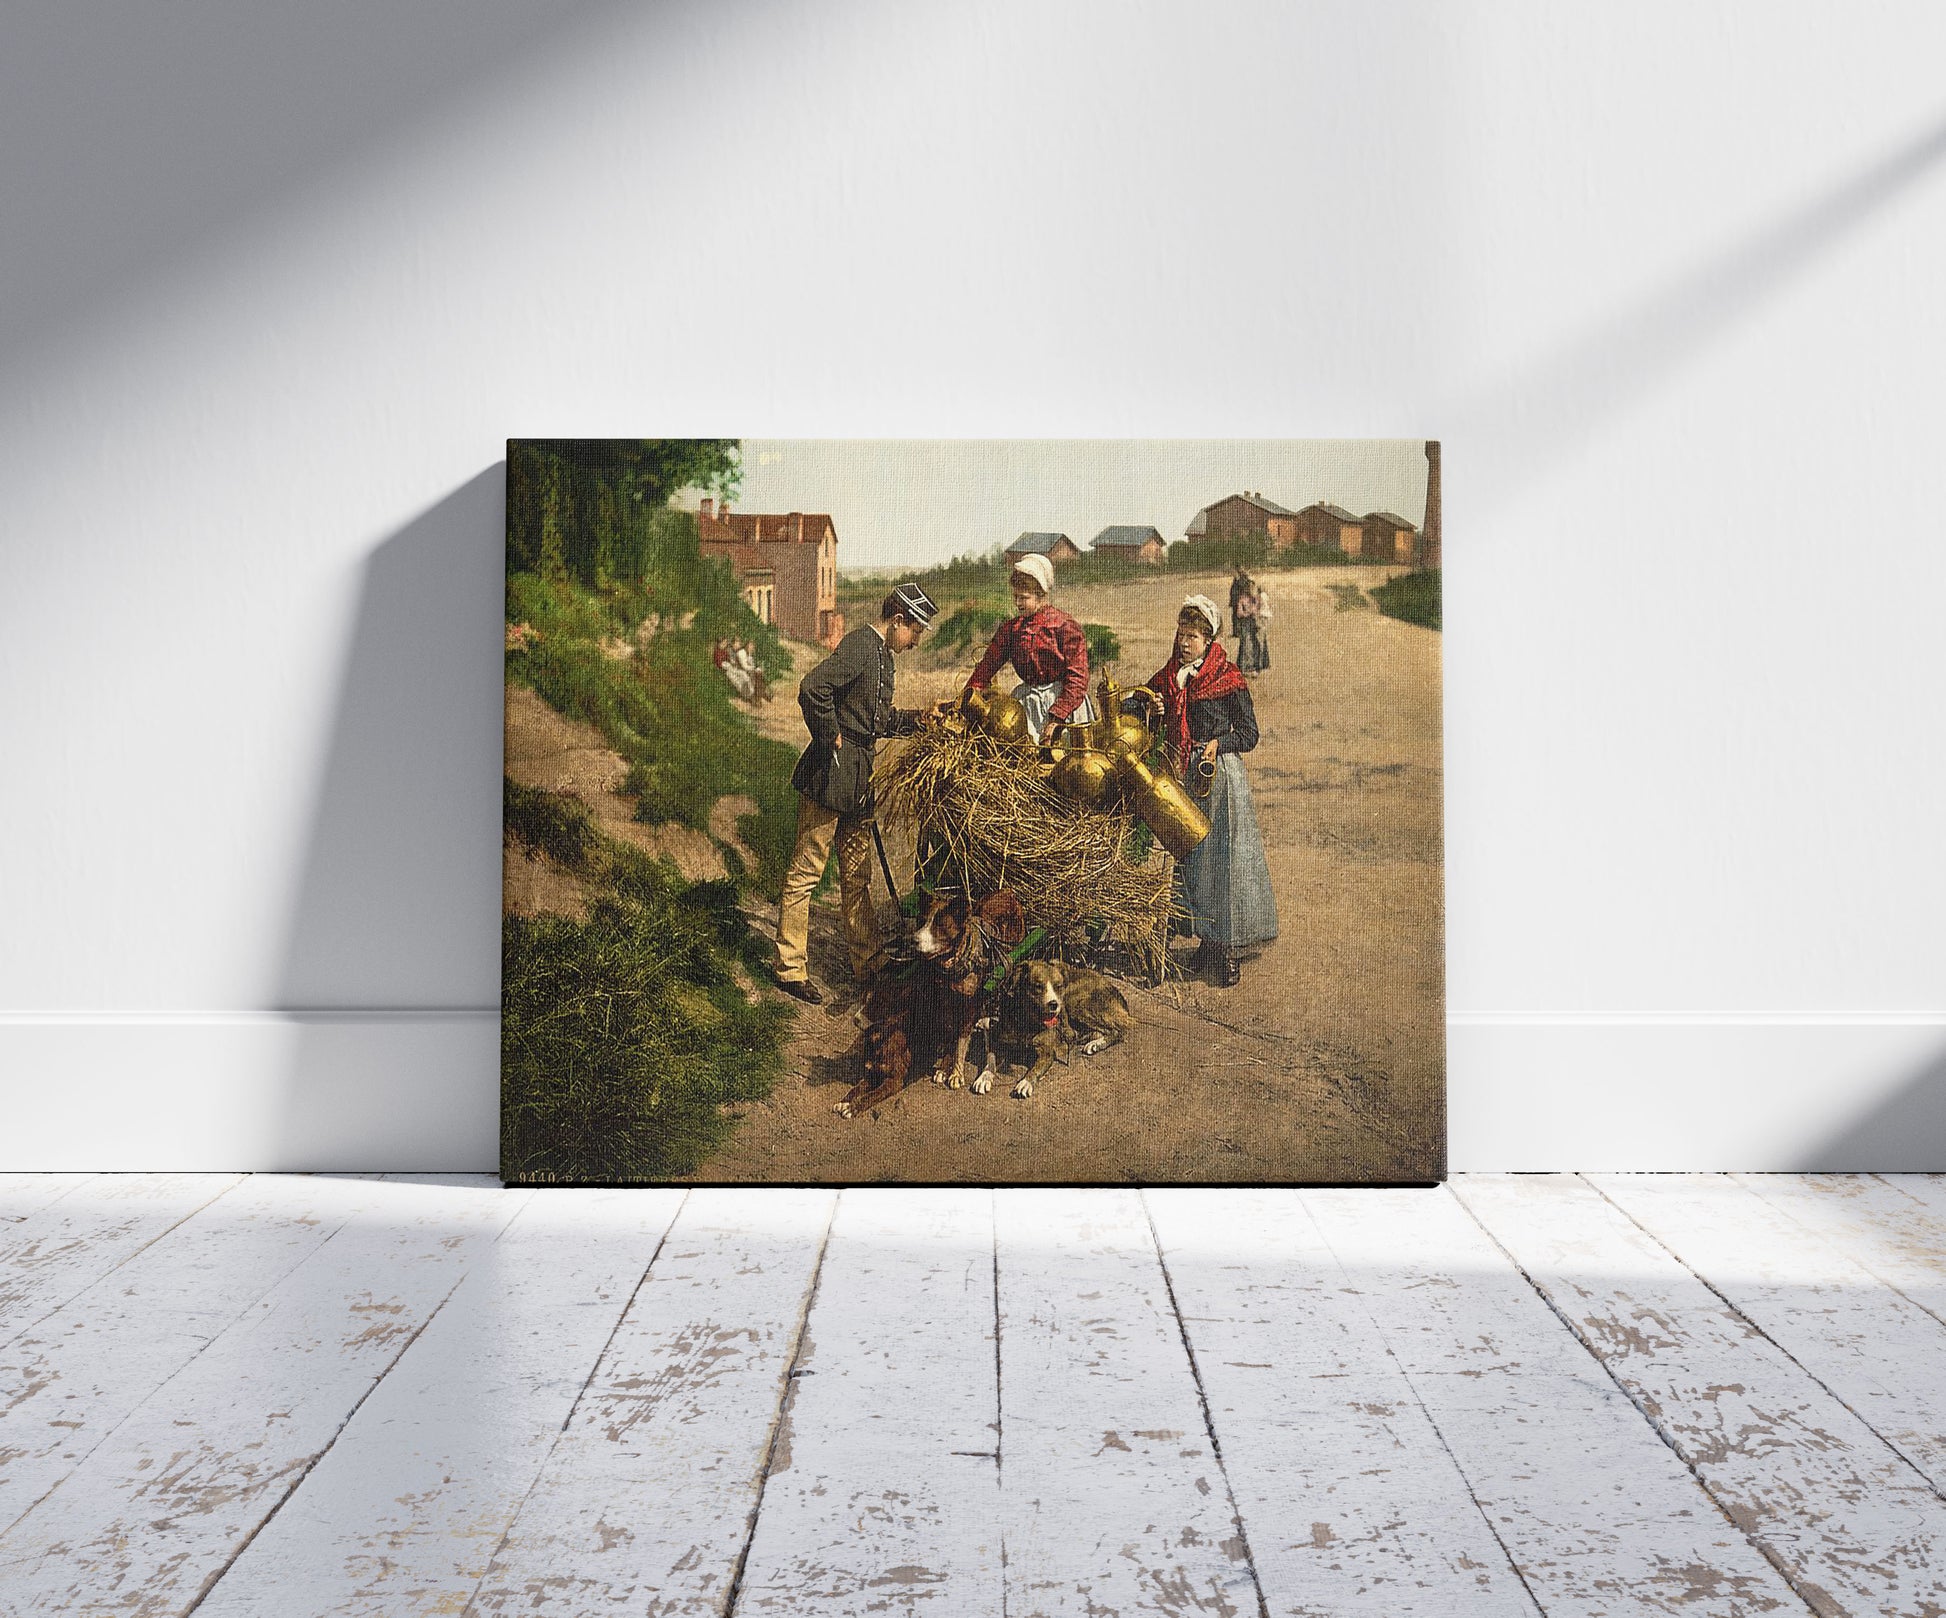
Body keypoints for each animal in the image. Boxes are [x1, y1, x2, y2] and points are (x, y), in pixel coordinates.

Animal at [828, 891, 1027, 1121]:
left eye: (939, 925)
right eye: (922, 921)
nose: (912, 941)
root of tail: (1007, 893)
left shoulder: (967, 1009)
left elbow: (960, 1042)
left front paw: (955, 1073)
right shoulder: (939, 1002)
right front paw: (845, 1102)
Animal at [973, 961, 1136, 1098]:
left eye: (1058, 986)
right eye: (1038, 986)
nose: (1054, 1004)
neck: (1027, 1022)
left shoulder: (1046, 1052)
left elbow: (1035, 1069)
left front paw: (1025, 1082)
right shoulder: (999, 1043)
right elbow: (990, 1060)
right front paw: (983, 1077)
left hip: (1075, 1003)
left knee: (1117, 1031)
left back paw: (1096, 1043)